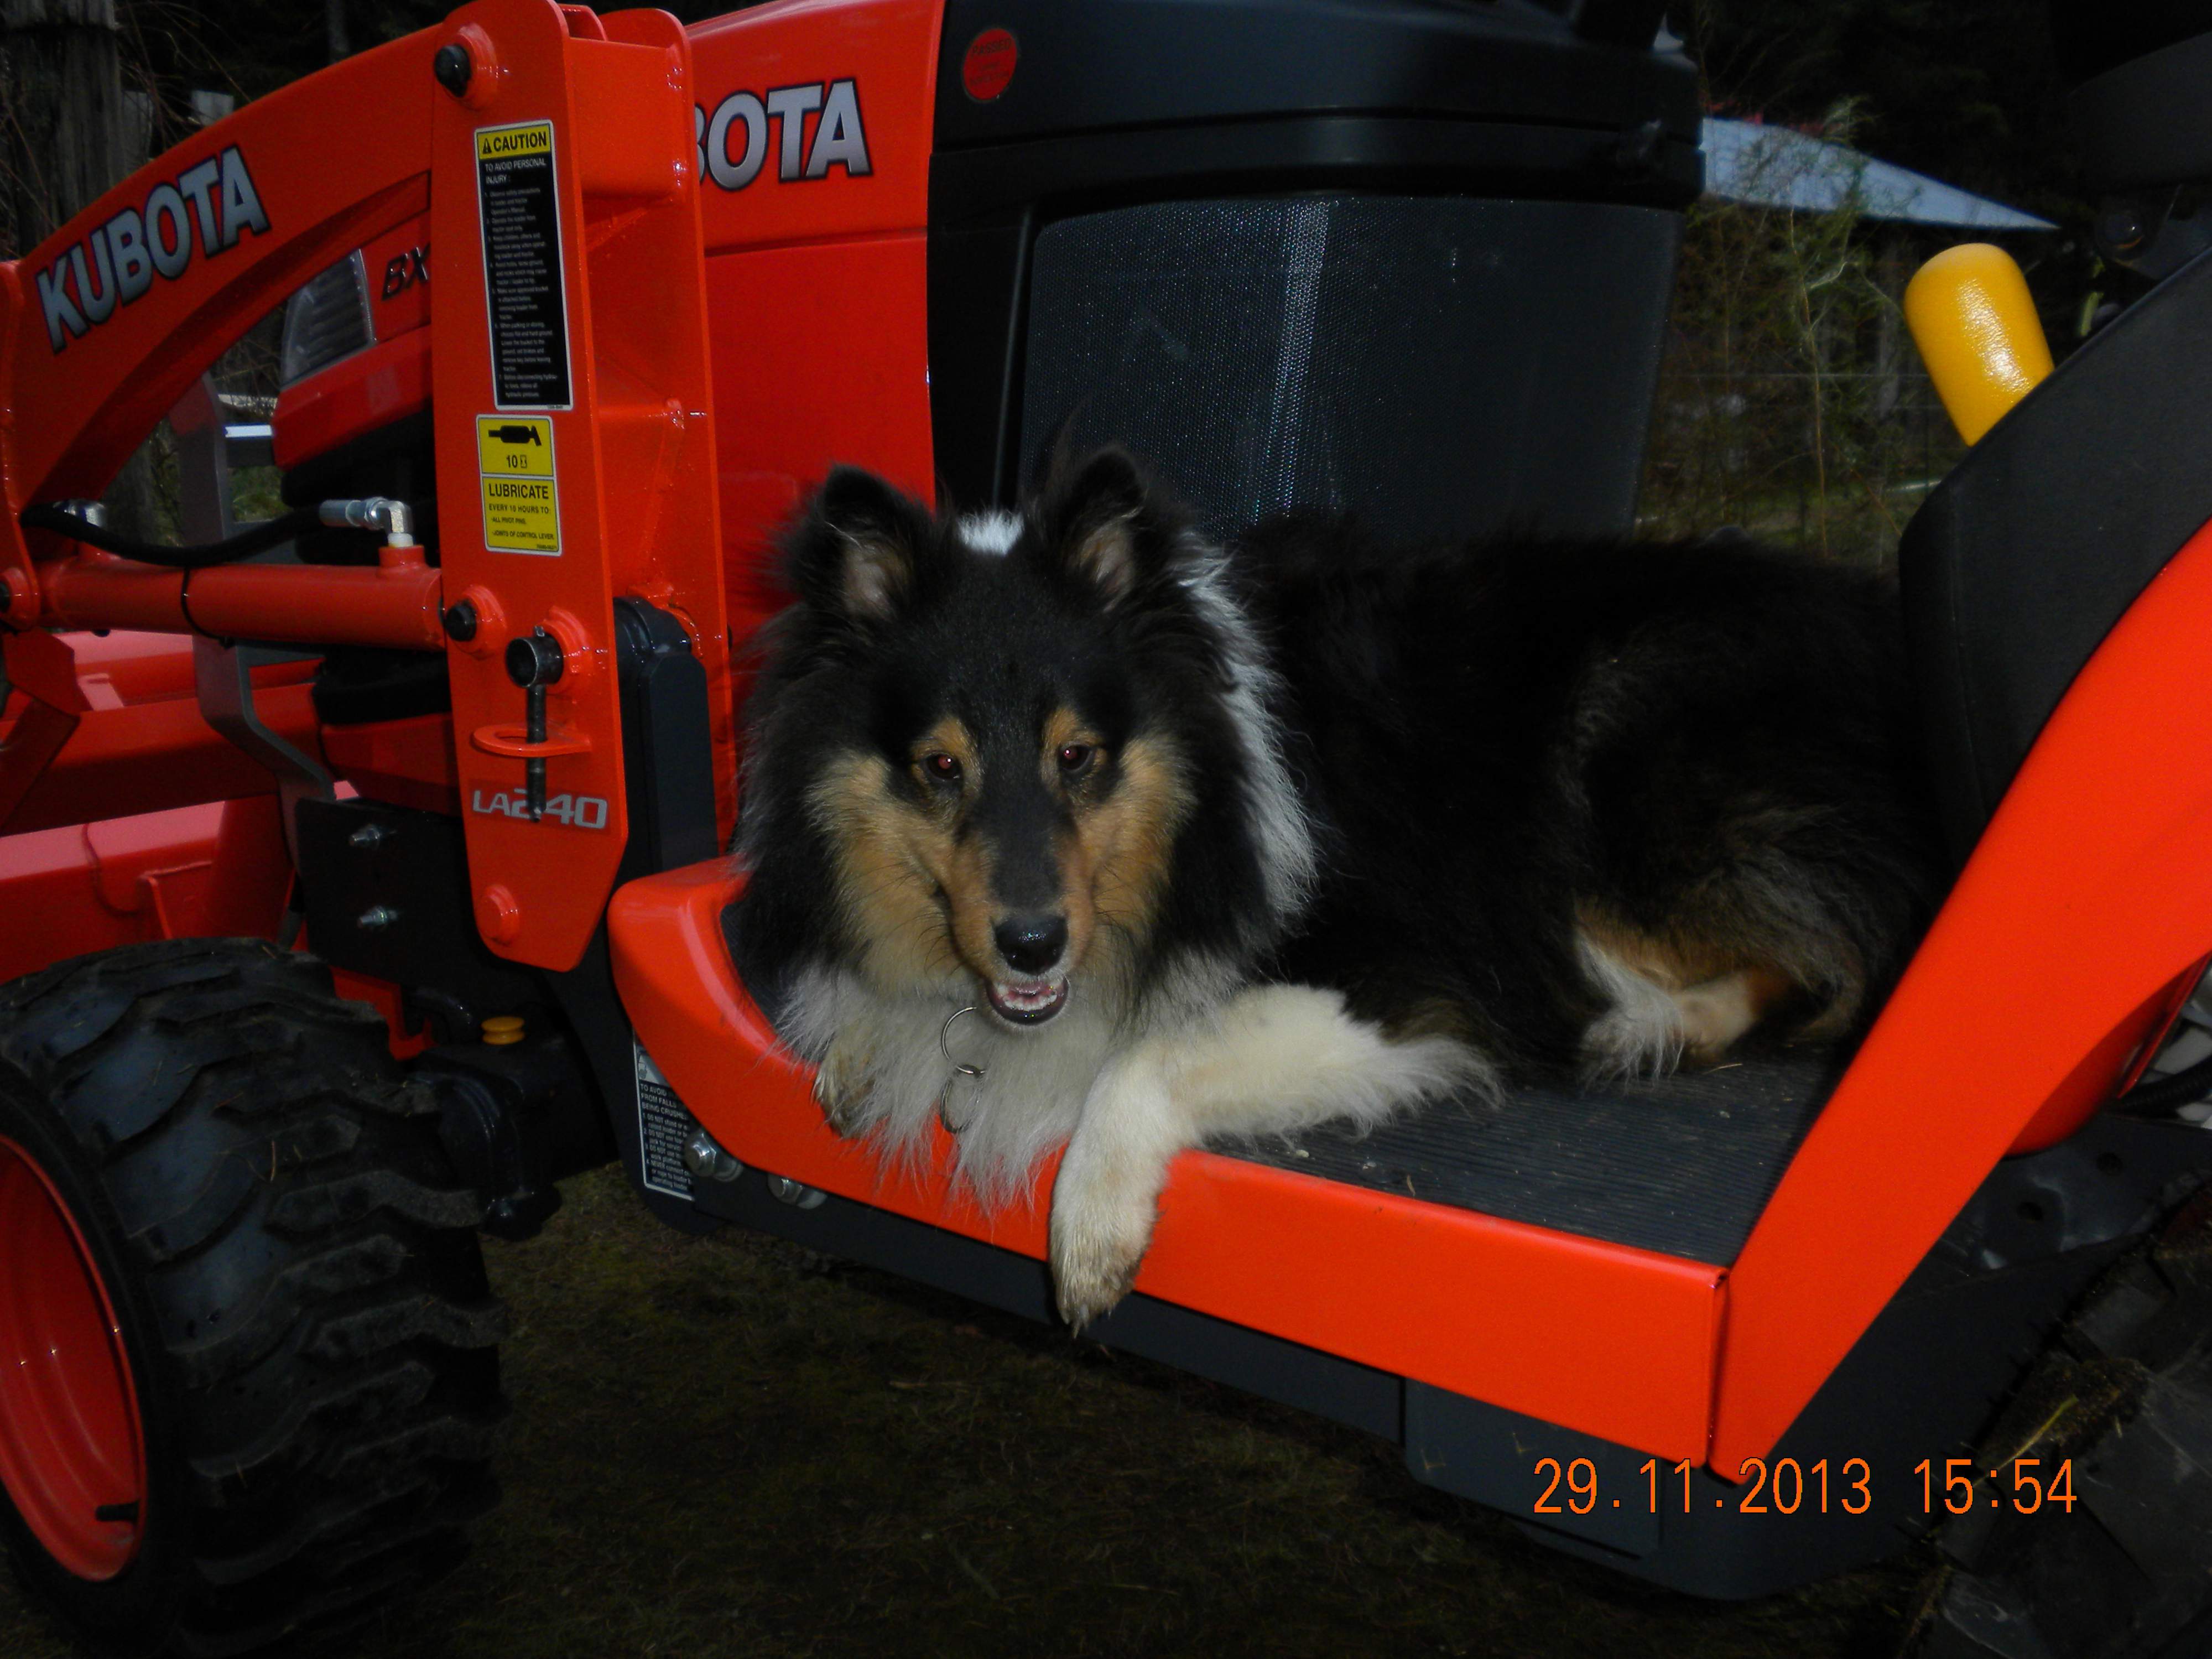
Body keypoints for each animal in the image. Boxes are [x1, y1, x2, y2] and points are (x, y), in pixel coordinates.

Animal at [723, 447, 1941, 1327]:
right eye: (940, 767)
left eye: (1079, 754)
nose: (1031, 945)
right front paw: (862, 1043)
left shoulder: (1391, 981)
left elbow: (1149, 1052)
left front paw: (1092, 1227)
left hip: (1621, 763)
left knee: (1837, 963)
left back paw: (1653, 1023)